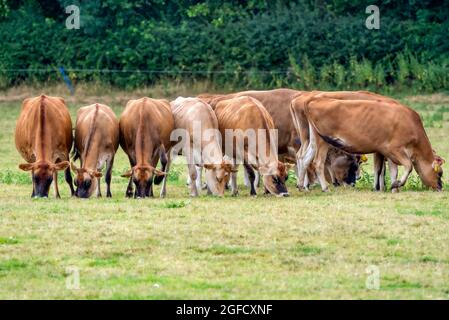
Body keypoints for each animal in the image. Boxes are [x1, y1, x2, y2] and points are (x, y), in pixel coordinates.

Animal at [302, 99, 442, 191]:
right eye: (440, 173)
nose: (440, 187)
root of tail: (313, 102)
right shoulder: (394, 149)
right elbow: (408, 166)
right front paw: (396, 185)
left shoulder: (382, 151)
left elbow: (386, 170)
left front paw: (387, 188)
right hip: (323, 141)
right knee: (317, 162)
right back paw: (325, 188)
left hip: (314, 140)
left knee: (304, 159)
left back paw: (303, 186)